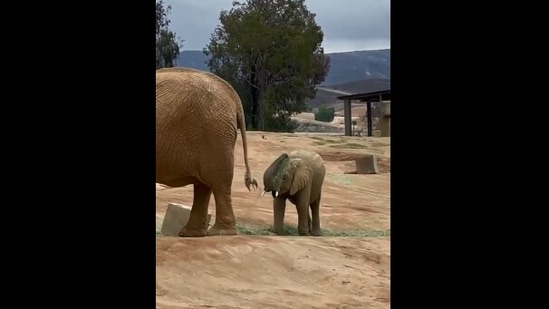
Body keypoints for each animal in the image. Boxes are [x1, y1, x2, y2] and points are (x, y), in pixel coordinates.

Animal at [154, 67, 256, 236]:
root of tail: (233, 96)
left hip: (214, 132)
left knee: (218, 181)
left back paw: (220, 233)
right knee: (204, 185)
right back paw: (190, 234)